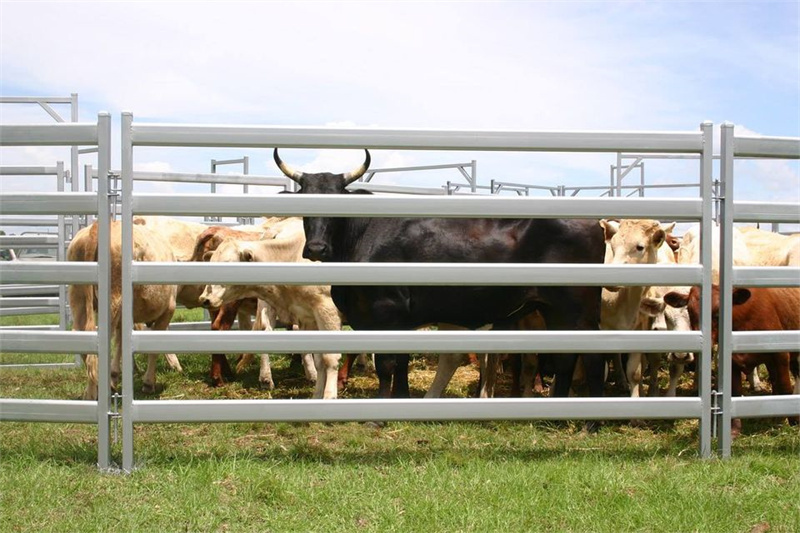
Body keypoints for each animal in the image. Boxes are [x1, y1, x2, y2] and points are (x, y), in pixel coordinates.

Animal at [276, 148, 608, 396]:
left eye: (338, 201)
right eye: (305, 200)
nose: (316, 248)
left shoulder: (385, 312)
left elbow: (387, 365)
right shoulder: (401, 320)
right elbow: (401, 364)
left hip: (578, 309)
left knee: (592, 358)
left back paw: (589, 423)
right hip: (555, 310)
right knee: (566, 358)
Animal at [664, 284, 800, 434]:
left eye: (718, 312)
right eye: (690, 310)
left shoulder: (781, 355)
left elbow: (785, 387)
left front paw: (793, 421)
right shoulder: (733, 361)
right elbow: (734, 393)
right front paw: (734, 430)